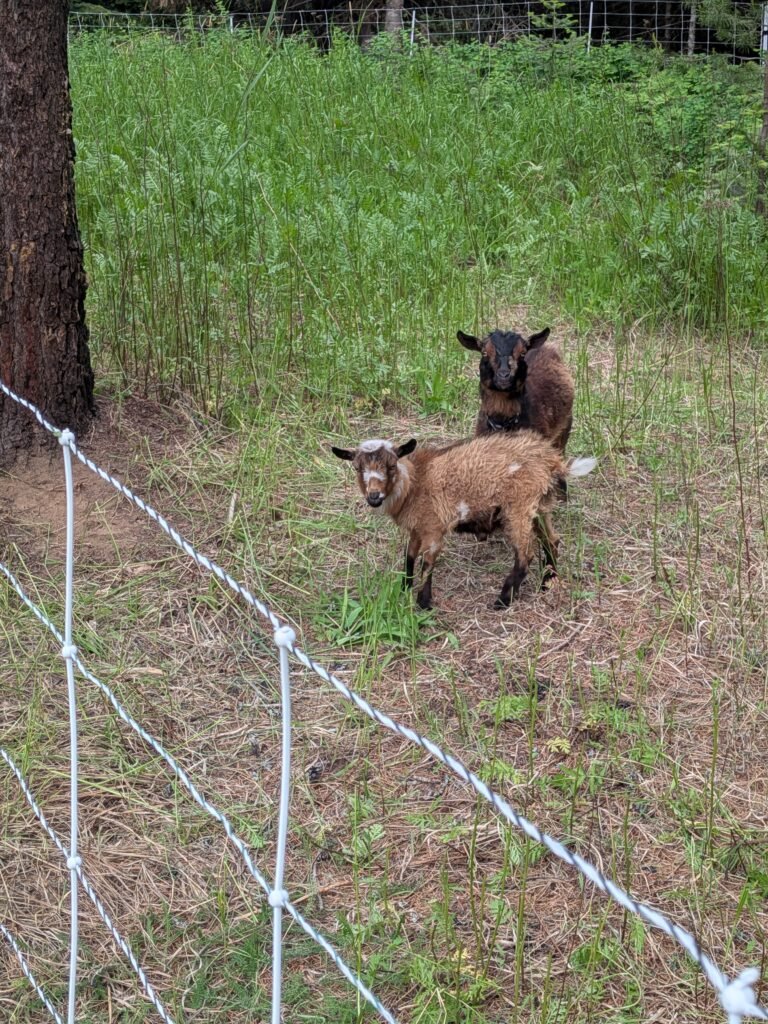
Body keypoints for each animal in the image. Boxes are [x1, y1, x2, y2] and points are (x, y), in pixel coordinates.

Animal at [331, 433, 596, 610]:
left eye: (391, 465)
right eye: (357, 468)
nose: (374, 496)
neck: (416, 482)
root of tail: (552, 462)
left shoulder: (434, 526)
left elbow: (427, 564)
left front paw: (423, 603)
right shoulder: (418, 527)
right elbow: (409, 556)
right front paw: (404, 588)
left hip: (518, 508)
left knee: (526, 554)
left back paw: (503, 599)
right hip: (540, 506)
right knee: (552, 540)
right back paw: (547, 582)